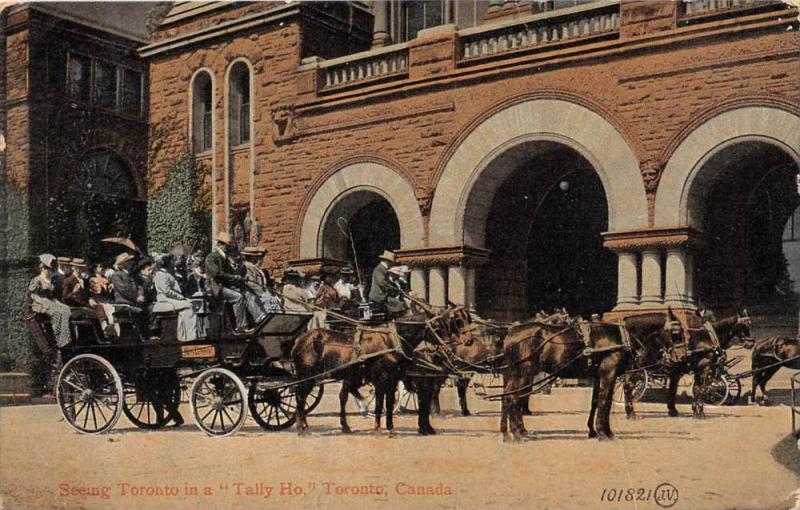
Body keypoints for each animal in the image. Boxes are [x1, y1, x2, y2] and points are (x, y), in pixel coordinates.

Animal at [290, 304, 490, 436]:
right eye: (439, 325)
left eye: (448, 324)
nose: (466, 341)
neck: (393, 342)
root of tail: (300, 340)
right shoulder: (385, 379)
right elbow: (382, 403)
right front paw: (383, 427)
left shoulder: (392, 380)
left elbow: (386, 402)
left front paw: (388, 426)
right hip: (307, 375)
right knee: (300, 397)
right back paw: (302, 427)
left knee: (333, 397)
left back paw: (338, 426)